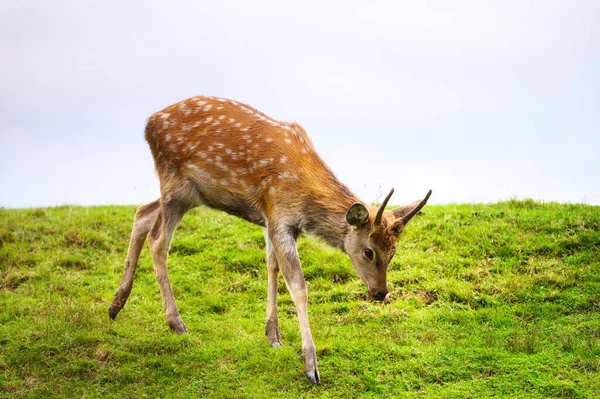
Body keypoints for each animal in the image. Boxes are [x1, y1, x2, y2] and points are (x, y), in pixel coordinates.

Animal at [109, 94, 432, 384]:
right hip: (175, 182)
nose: (381, 293)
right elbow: (298, 286)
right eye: (368, 252)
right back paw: (176, 323)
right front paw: (311, 366)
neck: (304, 193)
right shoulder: (279, 214)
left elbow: (272, 266)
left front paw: (273, 335)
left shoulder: (273, 221)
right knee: (157, 239)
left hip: (188, 194)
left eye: (393, 252)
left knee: (142, 212)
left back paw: (116, 304)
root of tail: (149, 124)